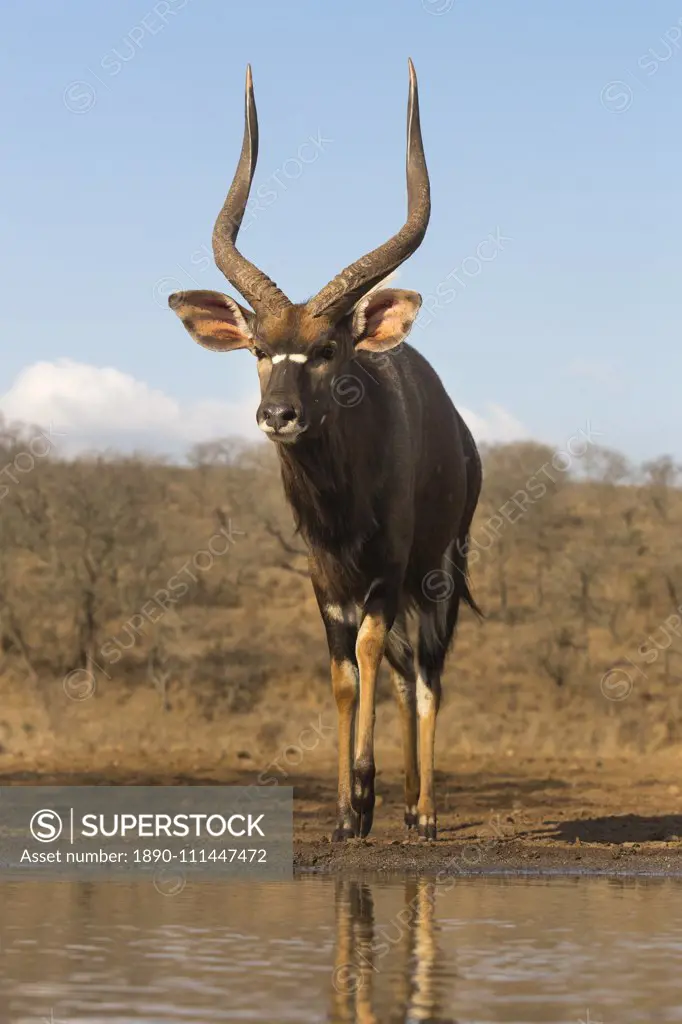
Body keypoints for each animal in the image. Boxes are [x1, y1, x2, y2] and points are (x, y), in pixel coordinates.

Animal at [167, 59, 481, 839]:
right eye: (258, 349)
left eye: (326, 349)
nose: (278, 413)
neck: (343, 501)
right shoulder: (325, 579)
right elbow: (343, 675)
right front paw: (346, 812)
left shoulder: (384, 571)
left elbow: (368, 653)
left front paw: (364, 795)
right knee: (402, 674)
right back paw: (404, 803)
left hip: (437, 573)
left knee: (426, 675)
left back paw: (425, 814)